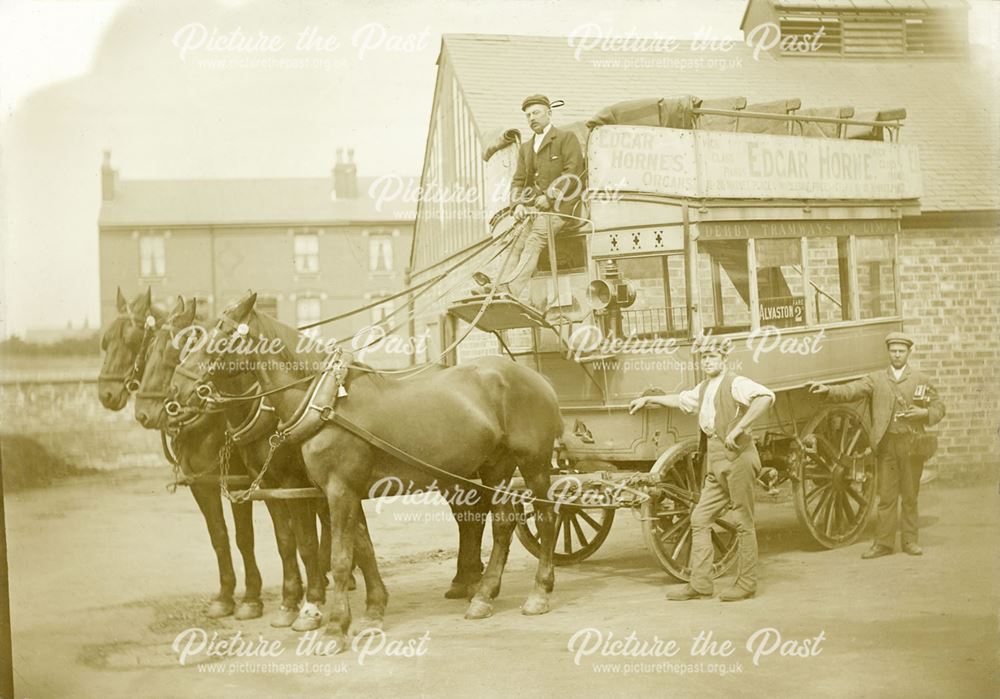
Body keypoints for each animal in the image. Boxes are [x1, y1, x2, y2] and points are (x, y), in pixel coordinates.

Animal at [173, 292, 564, 652]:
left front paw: (334, 628)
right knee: (503, 523)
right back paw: (483, 594)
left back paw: (538, 592)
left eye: (223, 333)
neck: (325, 401)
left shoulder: (339, 490)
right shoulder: (344, 491)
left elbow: (341, 558)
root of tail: (535, 377)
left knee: (546, 518)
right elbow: (364, 549)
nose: (180, 390)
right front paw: (373, 611)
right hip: (495, 466)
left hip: (534, 463)